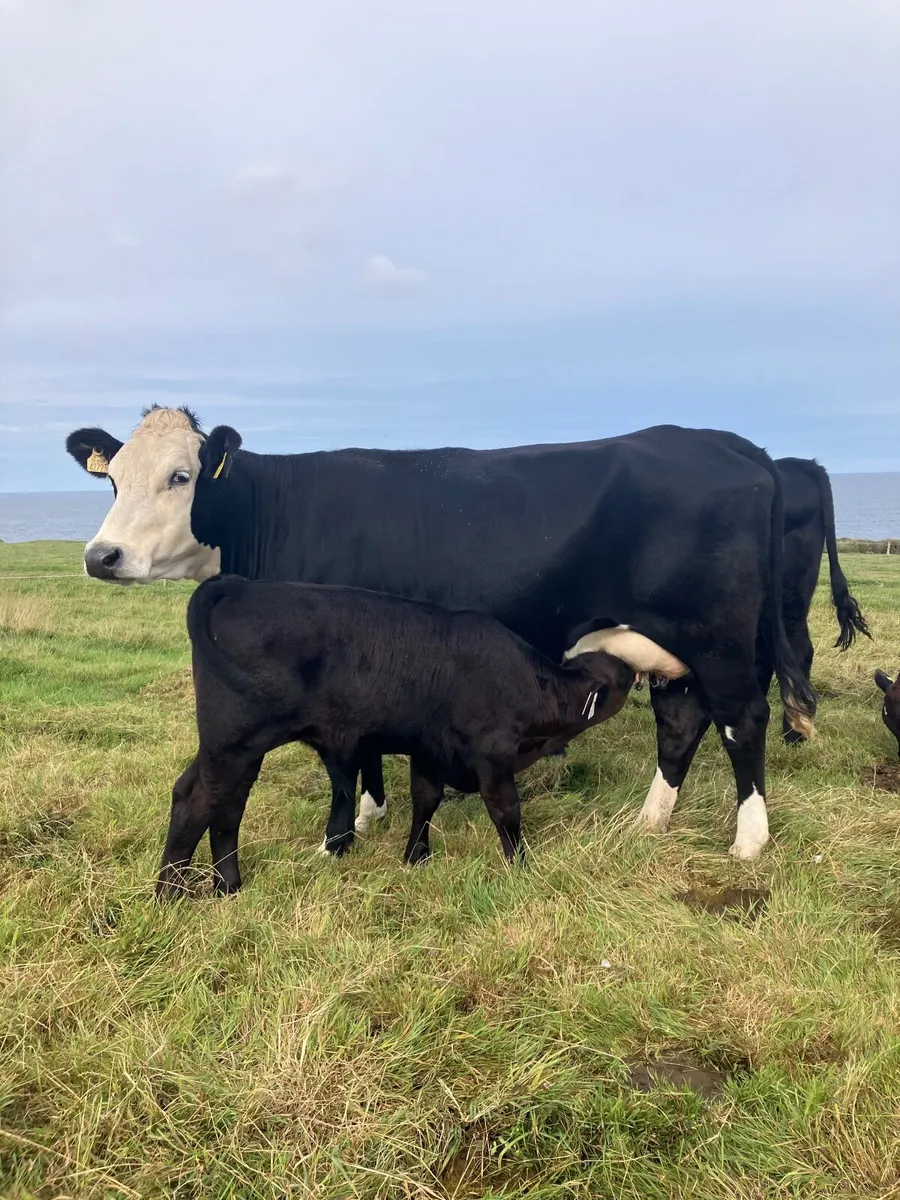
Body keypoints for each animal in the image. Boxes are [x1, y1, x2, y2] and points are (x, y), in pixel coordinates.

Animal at [67, 406, 816, 859]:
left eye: (181, 476)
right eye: (114, 481)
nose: (102, 556)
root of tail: (723, 441)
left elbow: (346, 758)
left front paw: (350, 828)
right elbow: (366, 750)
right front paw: (371, 815)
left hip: (718, 640)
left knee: (742, 721)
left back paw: (749, 840)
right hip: (670, 647)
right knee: (681, 721)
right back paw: (650, 820)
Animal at [156, 575, 642, 897]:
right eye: (619, 674)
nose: (639, 673)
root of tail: (239, 585)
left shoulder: (429, 750)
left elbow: (425, 799)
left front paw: (415, 857)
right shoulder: (492, 752)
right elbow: (505, 809)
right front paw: (521, 865)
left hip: (233, 747)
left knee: (209, 799)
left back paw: (217, 886)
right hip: (235, 740)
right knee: (204, 801)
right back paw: (174, 892)